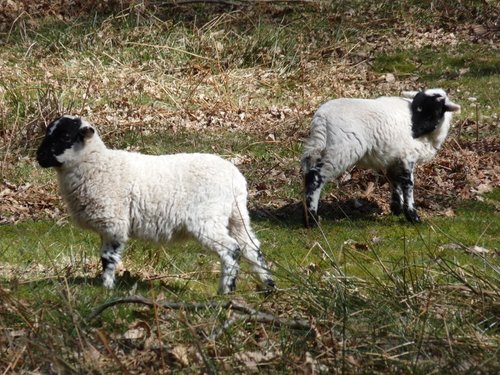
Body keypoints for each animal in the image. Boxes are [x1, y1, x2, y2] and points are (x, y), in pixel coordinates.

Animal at [37, 116, 276, 296]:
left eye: (66, 136)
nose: (39, 157)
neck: (97, 165)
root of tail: (236, 180)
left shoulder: (114, 222)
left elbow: (108, 258)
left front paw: (106, 287)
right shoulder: (108, 225)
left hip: (208, 219)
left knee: (232, 249)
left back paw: (225, 291)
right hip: (237, 217)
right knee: (251, 248)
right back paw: (268, 286)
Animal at [300, 89, 460, 228]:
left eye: (433, 112)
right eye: (416, 109)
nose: (413, 132)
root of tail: (321, 118)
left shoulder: (395, 158)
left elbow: (394, 181)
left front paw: (396, 208)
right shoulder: (408, 155)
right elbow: (408, 184)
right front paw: (412, 216)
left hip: (324, 149)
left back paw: (307, 216)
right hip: (341, 150)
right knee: (315, 177)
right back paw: (312, 219)